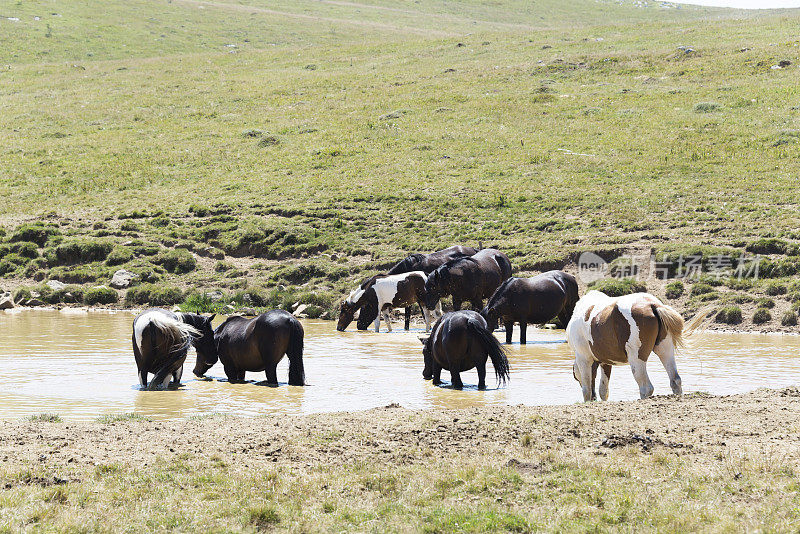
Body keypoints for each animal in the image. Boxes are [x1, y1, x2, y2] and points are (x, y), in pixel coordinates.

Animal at [568, 294, 708, 402]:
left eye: (575, 376)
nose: (594, 398)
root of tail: (653, 305)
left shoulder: (583, 359)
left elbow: (586, 389)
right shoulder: (605, 362)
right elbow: (603, 390)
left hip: (636, 359)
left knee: (646, 387)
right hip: (665, 351)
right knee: (675, 380)